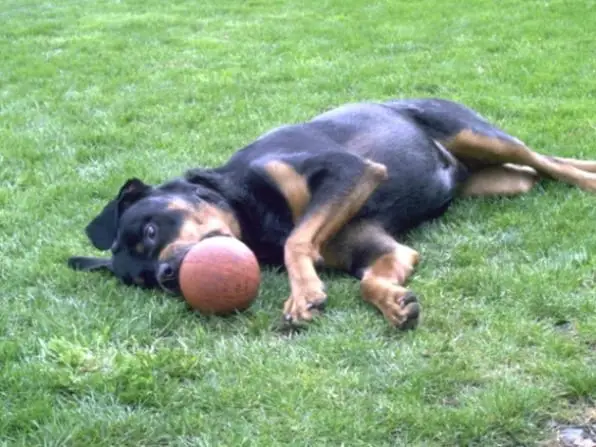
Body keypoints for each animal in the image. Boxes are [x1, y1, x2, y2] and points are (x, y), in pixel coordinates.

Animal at [67, 99, 596, 328]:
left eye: (149, 228)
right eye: (142, 282)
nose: (167, 277)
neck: (250, 209)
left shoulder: (350, 171)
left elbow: (297, 239)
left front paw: (303, 294)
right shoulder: (382, 248)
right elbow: (369, 278)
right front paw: (393, 302)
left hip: (476, 133)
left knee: (549, 162)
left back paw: (589, 178)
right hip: (498, 180)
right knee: (537, 171)